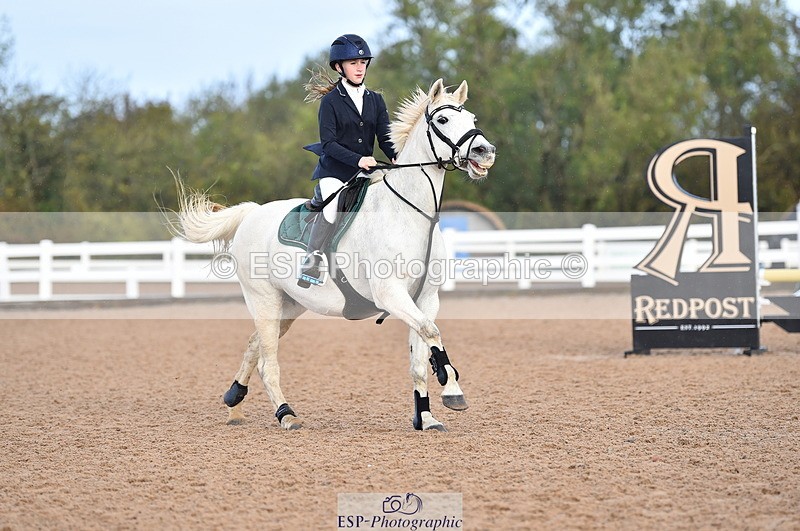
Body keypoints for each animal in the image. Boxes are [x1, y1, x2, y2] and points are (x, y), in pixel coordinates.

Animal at [173, 79, 496, 431]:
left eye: (473, 119)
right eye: (443, 120)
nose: (485, 152)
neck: (410, 214)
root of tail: (252, 213)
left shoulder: (425, 298)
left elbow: (420, 357)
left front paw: (425, 416)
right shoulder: (391, 294)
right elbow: (432, 333)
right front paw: (452, 390)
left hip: (290, 306)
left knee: (254, 345)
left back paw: (234, 401)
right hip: (264, 299)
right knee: (267, 361)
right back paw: (286, 414)